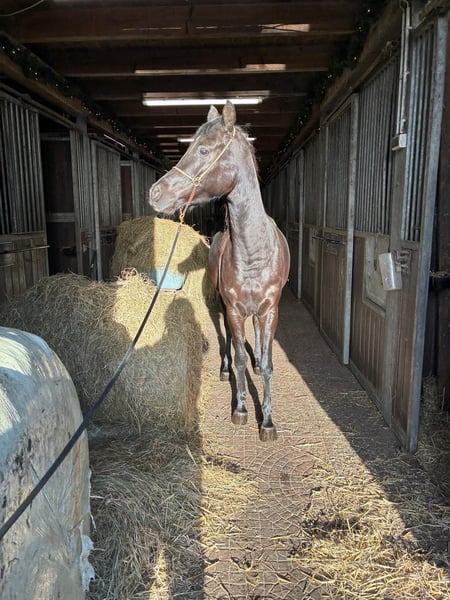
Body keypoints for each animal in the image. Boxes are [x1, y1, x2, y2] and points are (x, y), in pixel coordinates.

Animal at [149, 101, 290, 441]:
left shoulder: (271, 310)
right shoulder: (235, 309)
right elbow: (238, 358)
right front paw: (240, 409)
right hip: (223, 307)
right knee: (226, 337)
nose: (155, 193)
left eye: (203, 150)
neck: (254, 253)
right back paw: (226, 369)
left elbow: (268, 364)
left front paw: (267, 421)